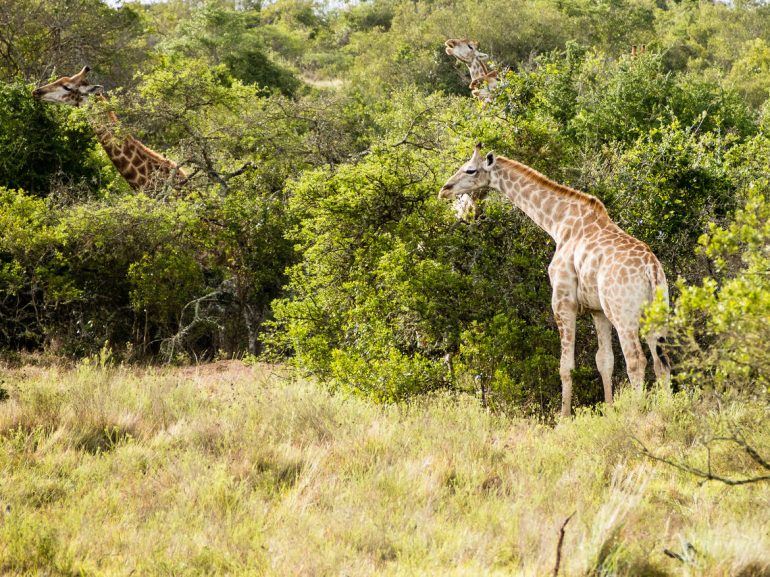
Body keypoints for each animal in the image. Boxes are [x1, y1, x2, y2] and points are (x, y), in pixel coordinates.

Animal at [438, 143, 664, 414]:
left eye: (470, 169)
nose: (444, 189)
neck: (558, 222)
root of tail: (651, 269)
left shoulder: (563, 301)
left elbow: (566, 366)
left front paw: (564, 417)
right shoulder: (597, 309)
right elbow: (604, 361)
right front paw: (609, 410)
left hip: (623, 314)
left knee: (636, 360)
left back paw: (637, 411)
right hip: (656, 312)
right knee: (661, 362)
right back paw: (669, 406)